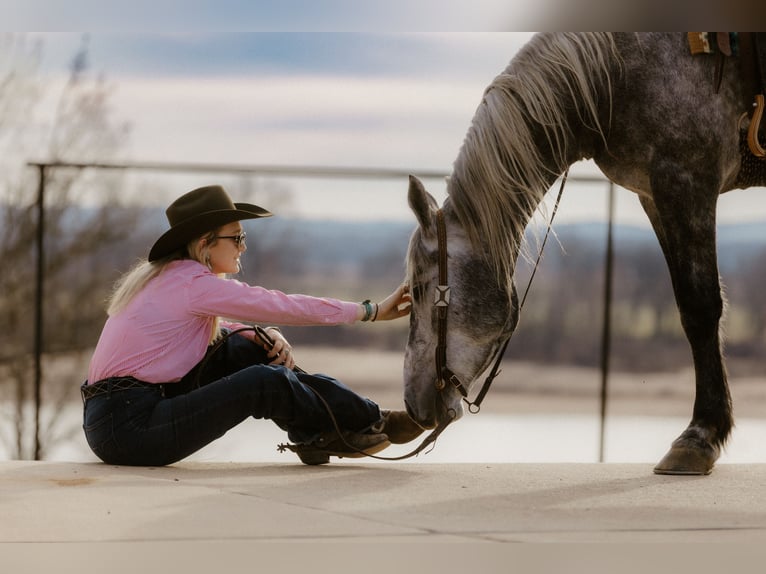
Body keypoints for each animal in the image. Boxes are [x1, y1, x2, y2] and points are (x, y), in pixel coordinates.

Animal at [403, 32, 766, 475]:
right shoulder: (654, 193)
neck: (617, 69)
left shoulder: (687, 179)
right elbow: (686, 305)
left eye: (421, 290)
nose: (413, 405)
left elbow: (700, 308)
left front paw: (701, 435)